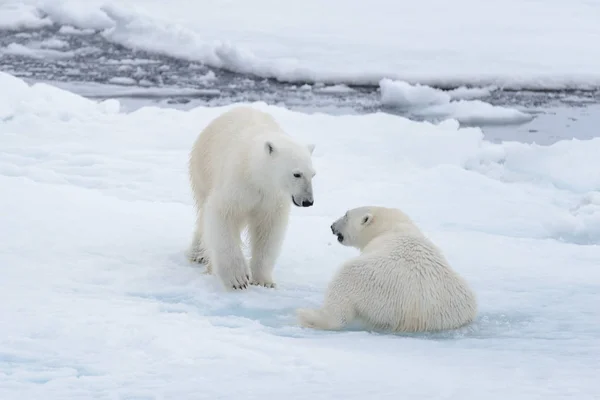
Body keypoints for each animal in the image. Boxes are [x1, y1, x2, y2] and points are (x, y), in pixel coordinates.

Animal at [190, 106, 316, 290]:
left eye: (313, 174)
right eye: (297, 174)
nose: (308, 201)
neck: (256, 173)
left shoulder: (272, 198)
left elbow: (269, 230)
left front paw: (264, 280)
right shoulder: (237, 184)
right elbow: (222, 215)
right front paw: (238, 279)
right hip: (203, 169)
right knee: (203, 215)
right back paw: (200, 256)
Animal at [298, 205, 476, 332]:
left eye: (346, 215)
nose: (332, 226)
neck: (389, 227)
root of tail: (418, 312)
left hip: (371, 283)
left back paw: (309, 314)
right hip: (460, 304)